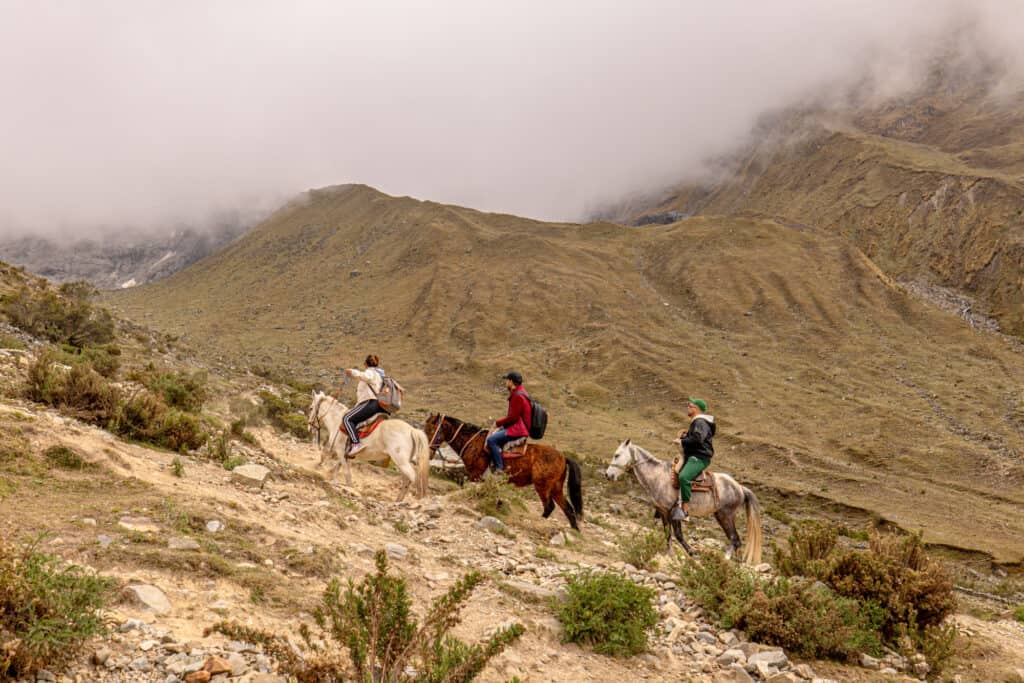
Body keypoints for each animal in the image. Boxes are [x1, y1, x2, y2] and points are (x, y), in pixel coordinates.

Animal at [423, 413, 585, 532]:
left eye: (431, 430)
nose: (428, 453)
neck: (473, 443)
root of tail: (563, 457)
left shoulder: (476, 476)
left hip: (543, 486)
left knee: (549, 507)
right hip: (556, 488)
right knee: (568, 509)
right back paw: (575, 532)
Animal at [606, 440, 761, 565]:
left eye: (617, 455)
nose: (607, 475)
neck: (658, 475)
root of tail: (740, 487)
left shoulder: (673, 512)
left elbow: (678, 535)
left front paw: (693, 553)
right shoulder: (663, 512)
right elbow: (667, 533)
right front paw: (669, 554)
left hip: (725, 515)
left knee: (735, 539)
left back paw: (725, 559)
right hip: (721, 515)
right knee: (735, 541)